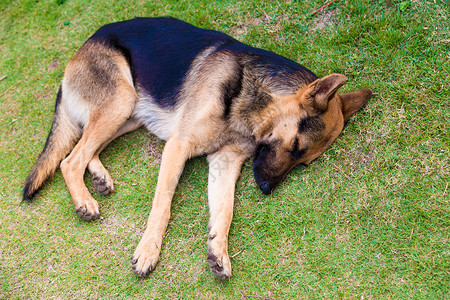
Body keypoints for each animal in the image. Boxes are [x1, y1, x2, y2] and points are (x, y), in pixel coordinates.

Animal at [22, 15, 372, 278]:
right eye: (296, 145)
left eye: (303, 161)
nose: (266, 188)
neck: (250, 100)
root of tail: (84, 45)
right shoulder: (179, 146)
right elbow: (162, 206)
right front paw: (148, 251)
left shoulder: (224, 162)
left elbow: (225, 210)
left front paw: (219, 250)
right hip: (121, 101)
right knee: (70, 159)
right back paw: (84, 200)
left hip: (131, 114)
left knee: (81, 147)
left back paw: (98, 177)